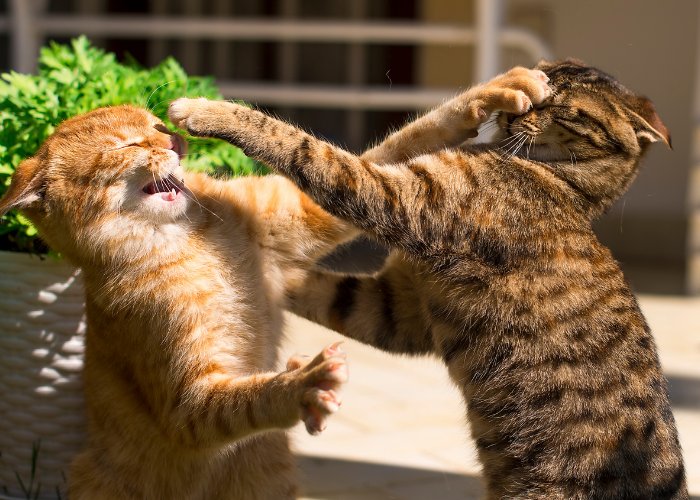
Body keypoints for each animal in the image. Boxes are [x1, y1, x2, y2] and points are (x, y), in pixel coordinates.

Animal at [171, 59, 688, 500]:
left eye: (561, 108)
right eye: (540, 86)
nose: (520, 110)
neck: (564, 186)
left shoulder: (396, 199)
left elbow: (305, 147)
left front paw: (205, 110)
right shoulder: (397, 307)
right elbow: (318, 287)